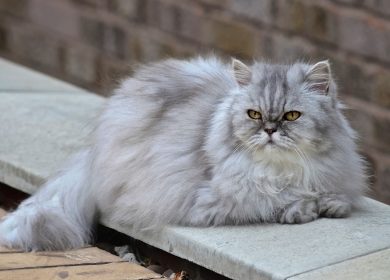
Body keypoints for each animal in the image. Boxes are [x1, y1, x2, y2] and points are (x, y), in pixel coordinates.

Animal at [0, 57, 366, 252]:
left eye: (291, 116)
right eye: (254, 115)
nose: (270, 130)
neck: (283, 169)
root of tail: (94, 152)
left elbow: (337, 197)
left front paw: (329, 204)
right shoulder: (221, 200)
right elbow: (276, 199)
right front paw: (303, 209)